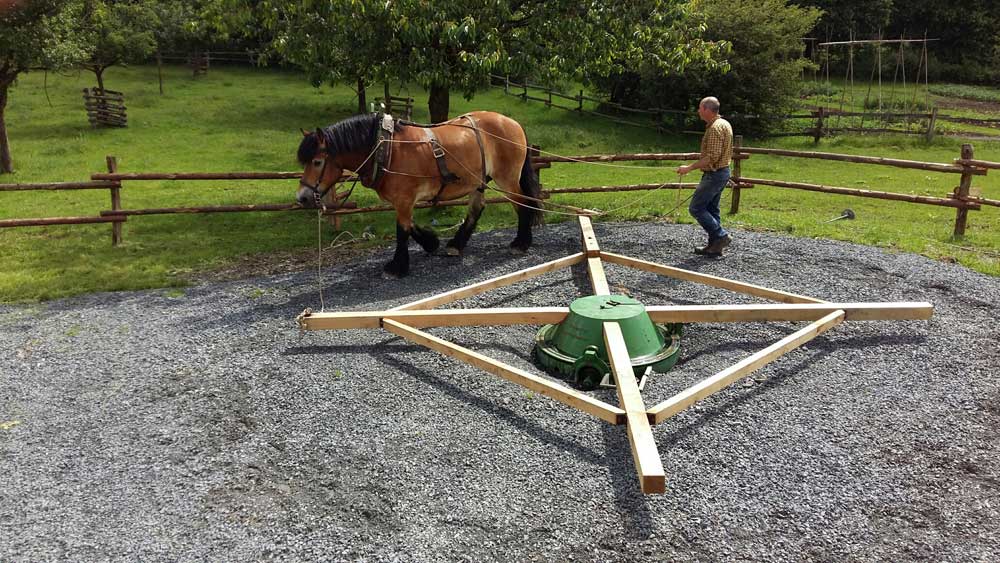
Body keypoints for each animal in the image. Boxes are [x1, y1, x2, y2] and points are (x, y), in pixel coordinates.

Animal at [296, 110, 544, 278]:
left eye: (317, 162)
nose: (302, 197)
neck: (386, 149)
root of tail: (513, 123)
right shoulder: (402, 200)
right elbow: (410, 225)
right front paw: (430, 243)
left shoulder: (404, 198)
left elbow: (402, 230)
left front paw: (397, 266)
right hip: (479, 181)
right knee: (477, 208)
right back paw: (456, 245)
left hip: (507, 178)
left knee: (523, 203)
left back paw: (521, 243)